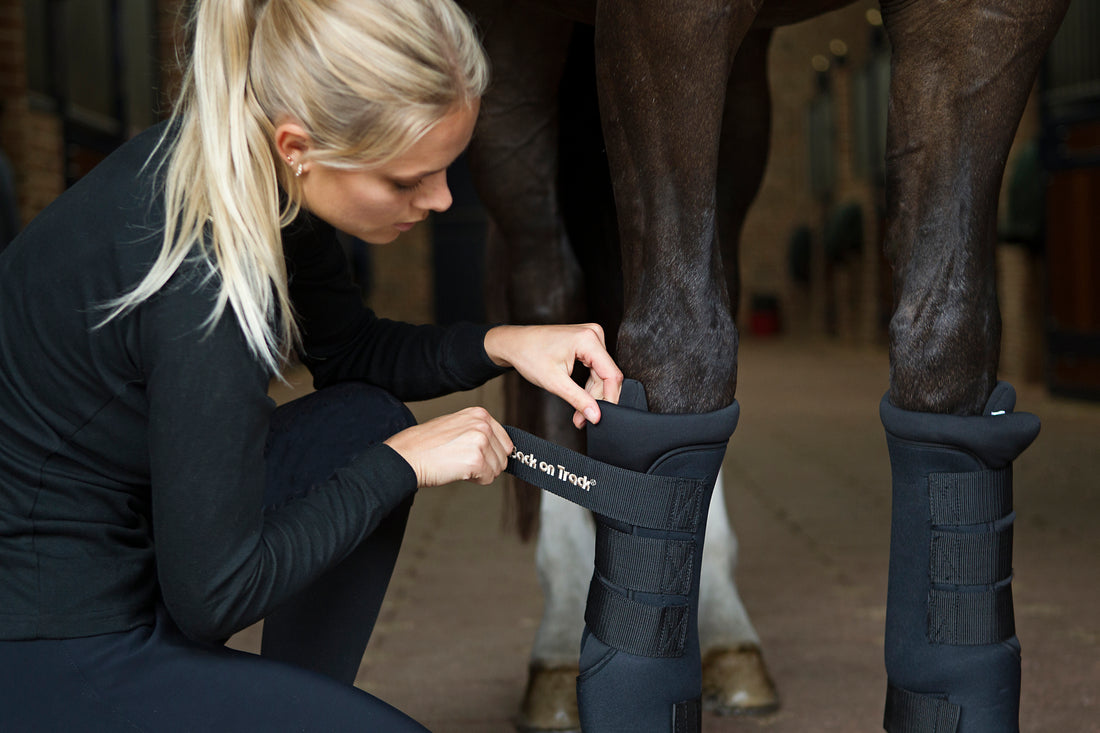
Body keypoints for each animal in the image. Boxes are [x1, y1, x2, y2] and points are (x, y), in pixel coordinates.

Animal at [459, 2, 1069, 726]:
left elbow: (948, 339)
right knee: (549, 284)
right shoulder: (660, 22)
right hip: (513, 50)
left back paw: (723, 630)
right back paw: (558, 644)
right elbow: (679, 346)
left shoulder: (986, 25)